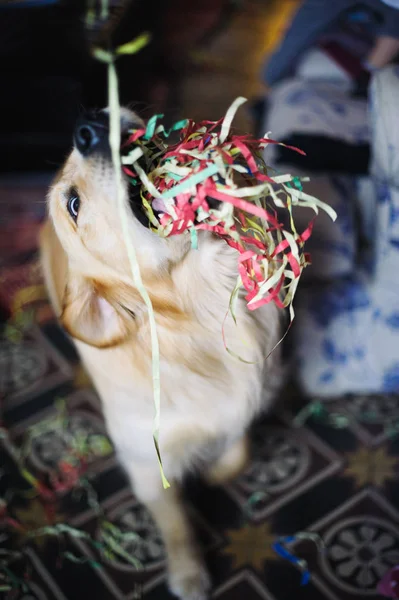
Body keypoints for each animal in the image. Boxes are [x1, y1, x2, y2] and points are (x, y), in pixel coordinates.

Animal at [39, 108, 284, 600]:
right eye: (73, 205)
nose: (89, 124)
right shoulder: (146, 462)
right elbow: (175, 522)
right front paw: (188, 574)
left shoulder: (257, 393)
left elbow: (237, 449)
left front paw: (216, 470)